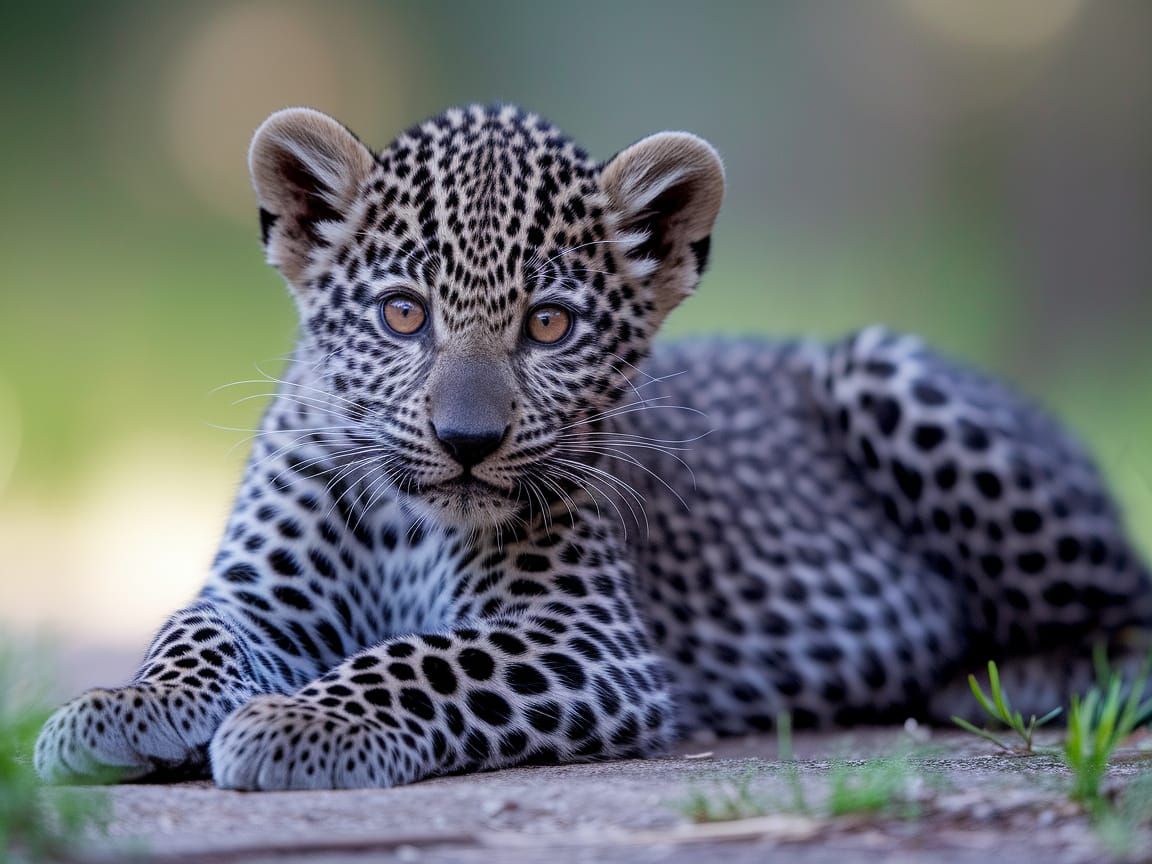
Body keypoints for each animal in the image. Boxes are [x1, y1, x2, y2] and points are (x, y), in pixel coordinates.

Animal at [35, 104, 1152, 790]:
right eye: (403, 315)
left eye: (549, 326)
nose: (468, 440)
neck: (409, 520)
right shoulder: (261, 598)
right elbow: (194, 631)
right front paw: (120, 705)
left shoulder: (584, 635)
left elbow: (422, 657)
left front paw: (300, 723)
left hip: (875, 366)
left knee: (1131, 614)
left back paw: (1012, 680)